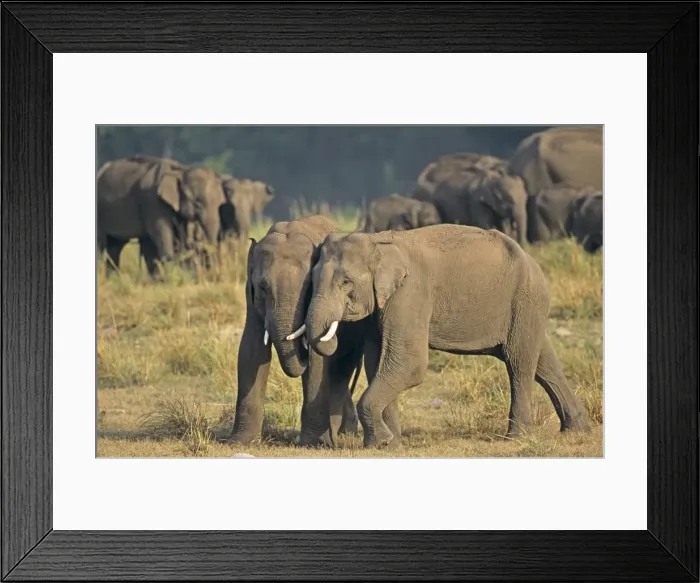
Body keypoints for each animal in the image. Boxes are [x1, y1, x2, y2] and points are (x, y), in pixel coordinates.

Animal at [97, 156, 234, 276]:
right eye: (197, 203)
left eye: (220, 204)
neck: (180, 170)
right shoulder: (153, 202)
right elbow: (163, 234)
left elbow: (179, 239)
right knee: (102, 245)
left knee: (116, 246)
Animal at [230, 215, 367, 448]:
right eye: (263, 288)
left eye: (308, 287)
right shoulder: (250, 295)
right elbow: (251, 349)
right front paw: (240, 443)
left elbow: (317, 360)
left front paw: (315, 444)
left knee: (342, 368)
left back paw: (342, 434)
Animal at [304, 224, 591, 448]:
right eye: (311, 280)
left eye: (346, 282)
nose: (335, 335)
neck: (377, 239)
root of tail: (533, 262)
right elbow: (378, 363)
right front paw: (389, 445)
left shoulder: (410, 293)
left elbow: (409, 363)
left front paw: (383, 442)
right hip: (525, 306)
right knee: (543, 360)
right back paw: (577, 428)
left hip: (525, 298)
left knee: (518, 362)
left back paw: (515, 438)